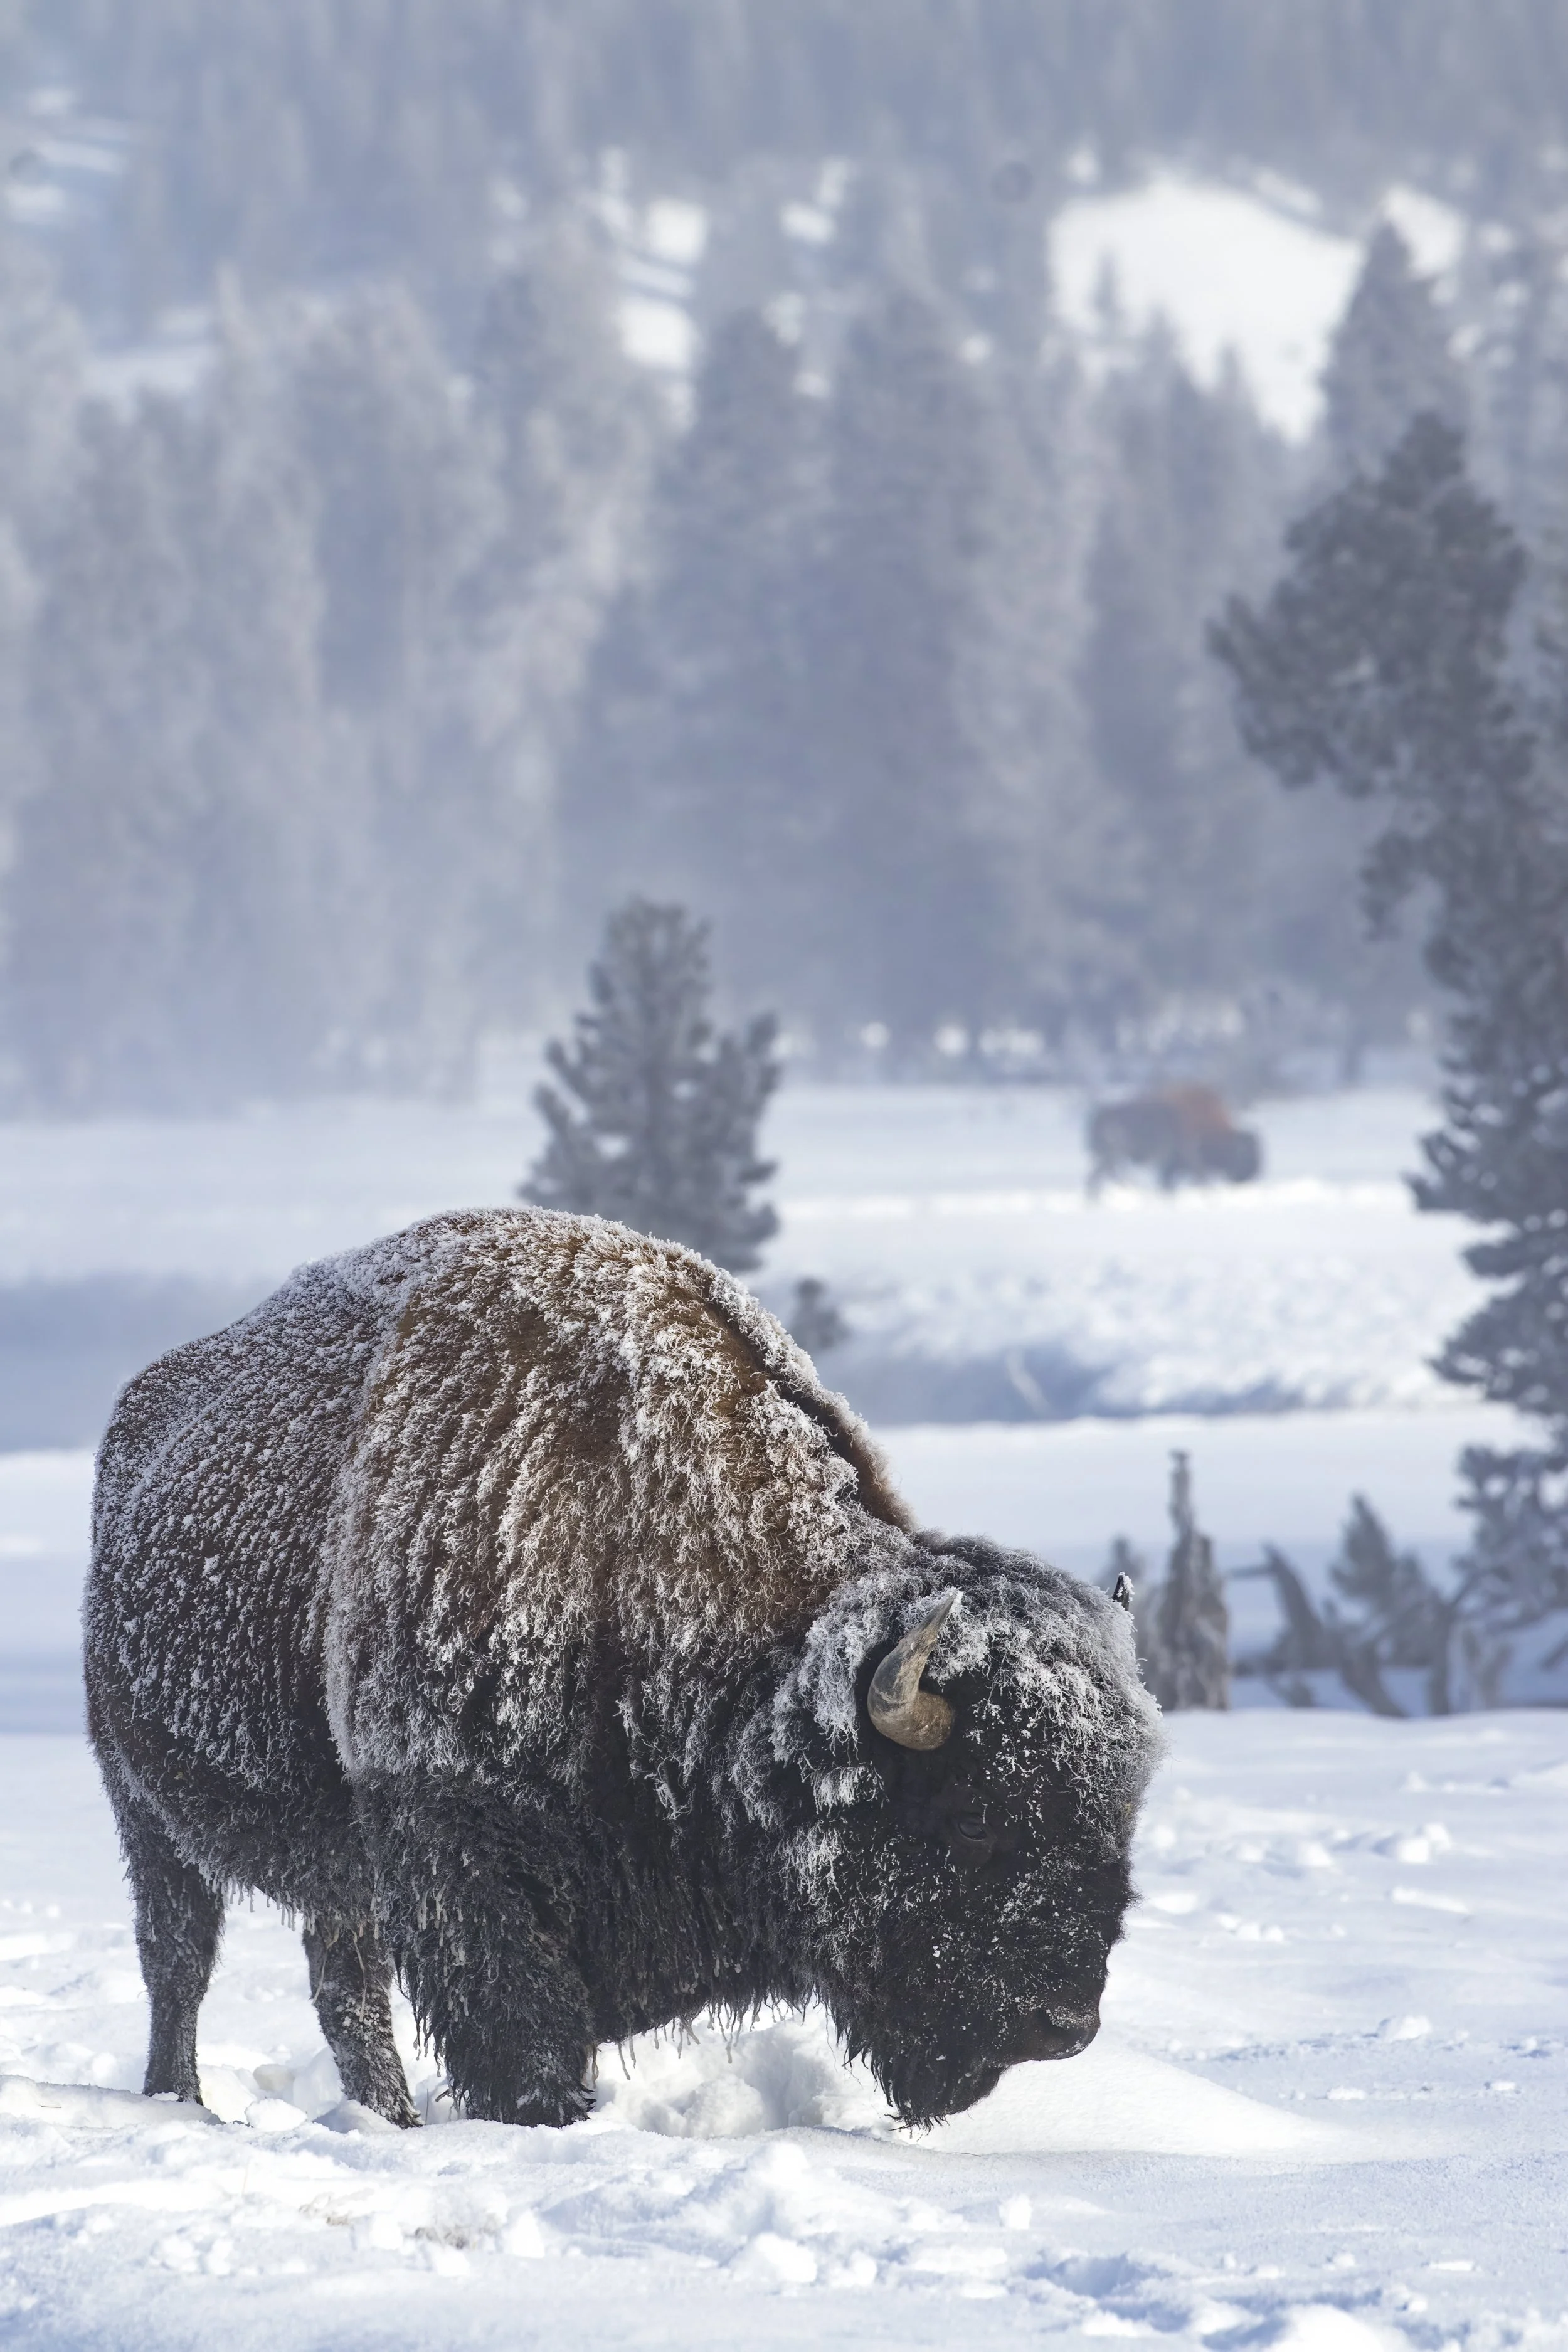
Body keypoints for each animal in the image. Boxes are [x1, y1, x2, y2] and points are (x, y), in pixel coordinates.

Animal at [86, 1210, 1161, 2131]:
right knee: (178, 1958)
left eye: (1118, 1811)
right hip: (142, 1805)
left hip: (330, 1873)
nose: (1065, 2025)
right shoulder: (461, 1860)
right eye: (974, 1815)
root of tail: (136, 1417)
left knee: (341, 1990)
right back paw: (178, 2099)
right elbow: (523, 2043)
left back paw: (386, 2118)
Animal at [1088, 1083, 1262, 1192]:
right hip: (1114, 1155)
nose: (1249, 1176)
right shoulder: (1183, 1159)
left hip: (1111, 1157)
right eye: (1245, 1156)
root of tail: (1103, 1114)